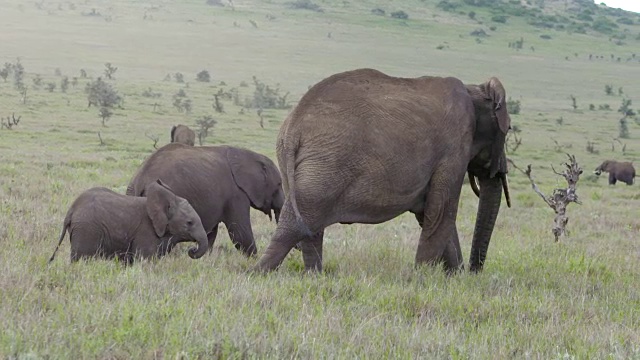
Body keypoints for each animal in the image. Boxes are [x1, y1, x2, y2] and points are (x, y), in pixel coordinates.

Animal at [126, 143, 284, 256]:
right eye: (279, 184)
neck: (248, 155)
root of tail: (140, 179)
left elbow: (211, 234)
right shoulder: (236, 194)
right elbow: (240, 232)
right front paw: (253, 259)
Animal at [252, 69, 512, 274]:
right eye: (509, 128)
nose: (473, 272)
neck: (474, 89)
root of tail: (292, 128)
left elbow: (429, 212)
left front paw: (452, 278)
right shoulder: (455, 146)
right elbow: (441, 211)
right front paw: (420, 279)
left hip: (301, 166)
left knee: (308, 224)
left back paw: (313, 276)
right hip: (325, 166)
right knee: (299, 223)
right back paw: (259, 274)